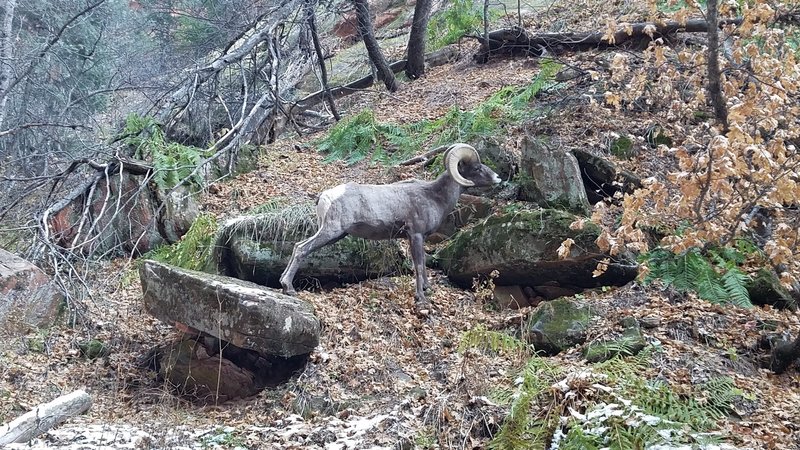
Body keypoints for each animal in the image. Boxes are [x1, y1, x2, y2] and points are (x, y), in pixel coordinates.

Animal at [278, 142, 496, 308]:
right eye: (477, 168)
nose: (497, 178)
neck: (434, 196)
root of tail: (324, 196)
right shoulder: (415, 236)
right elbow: (418, 265)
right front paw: (421, 298)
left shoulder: (419, 238)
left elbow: (423, 264)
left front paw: (427, 290)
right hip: (331, 231)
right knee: (302, 249)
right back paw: (289, 288)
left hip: (334, 234)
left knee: (298, 246)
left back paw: (283, 284)